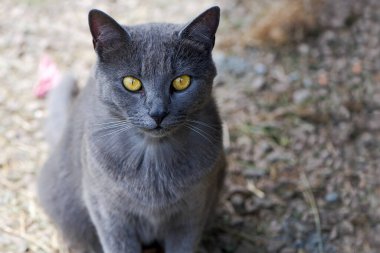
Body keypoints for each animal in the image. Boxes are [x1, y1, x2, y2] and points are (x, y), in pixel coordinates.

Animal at [37, 5, 226, 253]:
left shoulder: (192, 212)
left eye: (182, 81)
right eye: (132, 83)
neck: (154, 159)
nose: (157, 113)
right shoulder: (109, 214)